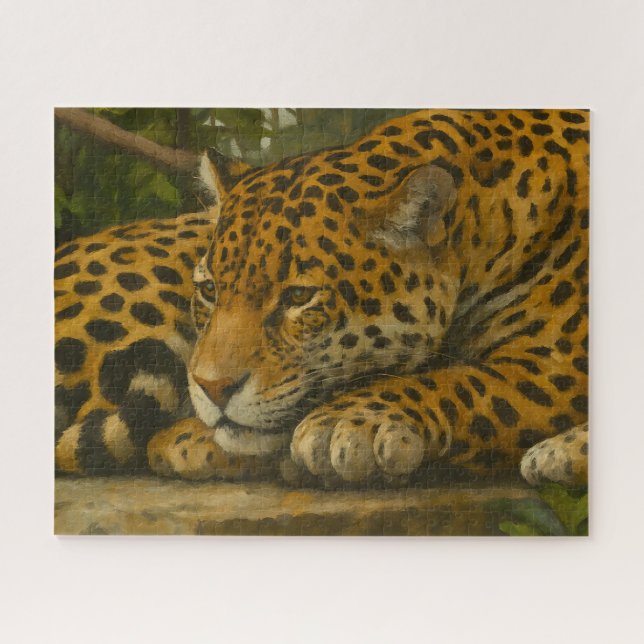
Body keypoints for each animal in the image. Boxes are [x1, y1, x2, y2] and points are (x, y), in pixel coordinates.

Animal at [55, 109, 589, 488]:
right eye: (209, 290)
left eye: (298, 296)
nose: (211, 387)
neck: (486, 223)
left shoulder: (560, 365)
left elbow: (467, 381)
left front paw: (346, 423)